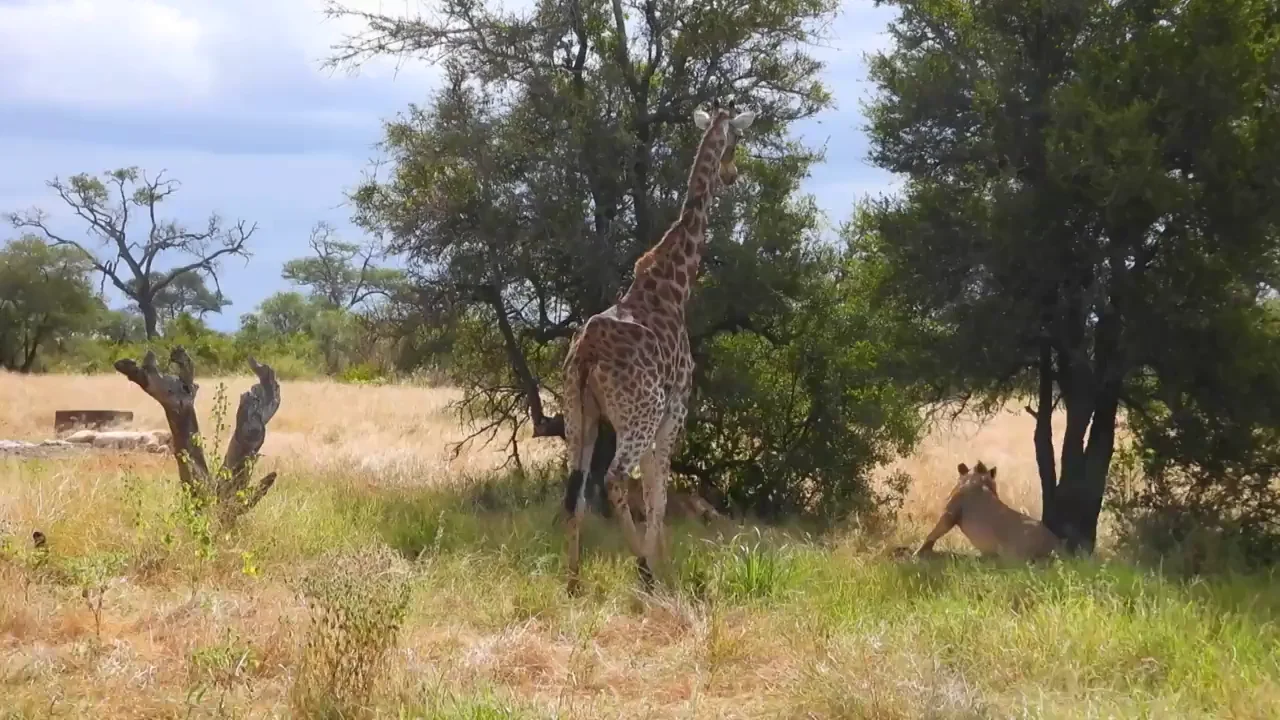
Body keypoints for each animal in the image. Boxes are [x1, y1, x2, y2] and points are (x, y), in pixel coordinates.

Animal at [560, 104, 756, 594]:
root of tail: (586, 355)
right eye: (736, 141)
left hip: (579, 416)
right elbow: (659, 493)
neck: (675, 283)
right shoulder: (675, 408)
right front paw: (661, 567)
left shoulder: (659, 415)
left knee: (576, 490)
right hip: (637, 414)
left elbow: (653, 491)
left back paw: (573, 579)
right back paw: (642, 570)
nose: (731, 174)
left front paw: (662, 562)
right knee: (613, 478)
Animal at [914, 461, 1062, 562]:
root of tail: (1057, 544)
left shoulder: (949, 514)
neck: (979, 482)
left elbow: (933, 534)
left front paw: (918, 553)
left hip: (1014, 554)